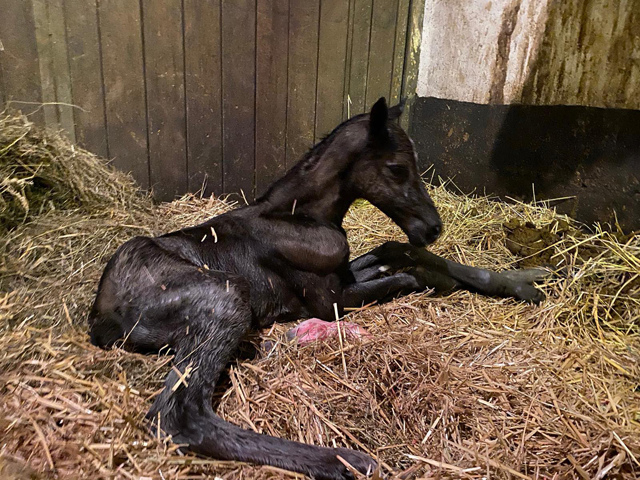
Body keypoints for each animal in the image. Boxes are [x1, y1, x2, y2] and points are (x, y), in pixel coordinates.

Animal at [89, 98, 544, 480]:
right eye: (397, 168)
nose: (432, 228)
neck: (302, 219)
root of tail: (100, 317)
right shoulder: (331, 301)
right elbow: (411, 276)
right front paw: (450, 282)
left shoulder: (345, 276)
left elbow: (397, 251)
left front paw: (525, 282)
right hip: (224, 297)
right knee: (177, 416)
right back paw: (346, 460)